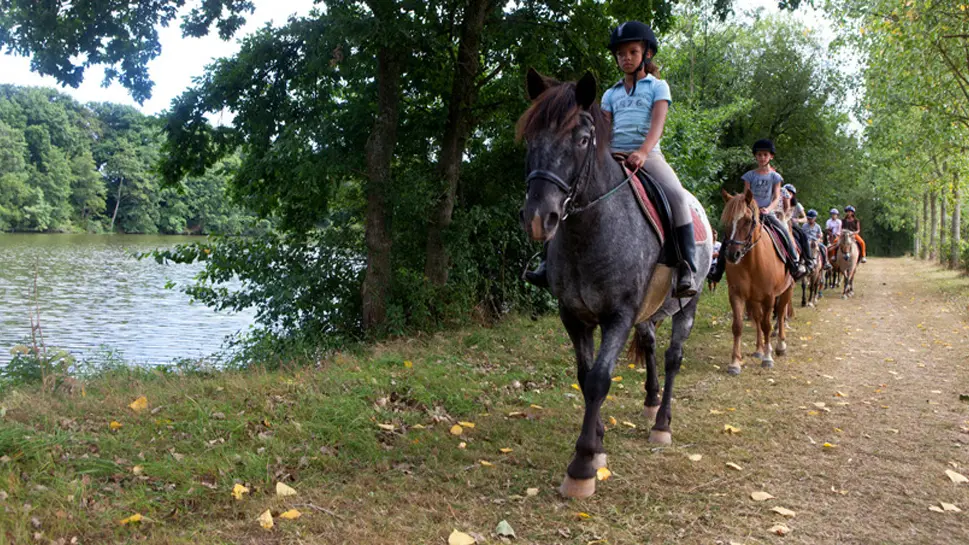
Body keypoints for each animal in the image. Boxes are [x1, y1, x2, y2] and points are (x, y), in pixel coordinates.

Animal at [520, 70, 716, 500]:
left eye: (581, 139)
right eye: (529, 139)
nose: (540, 218)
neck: (591, 229)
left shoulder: (618, 315)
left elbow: (598, 380)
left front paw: (582, 465)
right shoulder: (573, 316)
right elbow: (584, 376)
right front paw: (598, 442)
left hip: (687, 305)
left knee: (673, 356)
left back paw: (662, 423)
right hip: (649, 311)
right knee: (651, 345)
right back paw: (651, 400)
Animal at [720, 188, 796, 374]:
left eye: (747, 221)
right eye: (726, 222)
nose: (732, 255)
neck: (751, 262)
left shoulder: (769, 296)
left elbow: (767, 325)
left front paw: (768, 358)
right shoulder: (736, 295)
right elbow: (738, 326)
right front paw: (735, 362)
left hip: (786, 290)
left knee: (780, 314)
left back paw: (780, 346)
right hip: (754, 298)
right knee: (758, 318)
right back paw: (759, 349)